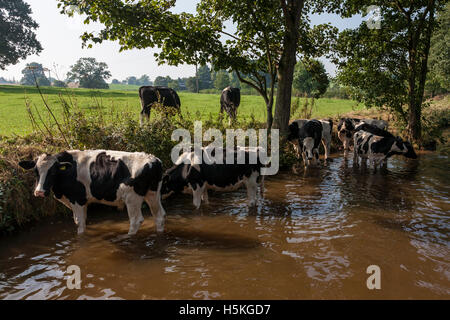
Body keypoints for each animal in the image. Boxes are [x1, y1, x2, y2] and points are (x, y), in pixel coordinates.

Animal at [19, 150, 166, 235]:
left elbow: (79, 223)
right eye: (35, 171)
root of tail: (153, 160)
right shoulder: (82, 202)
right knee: (159, 215)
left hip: (132, 198)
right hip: (153, 194)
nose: (39, 192)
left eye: (53, 171)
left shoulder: (77, 199)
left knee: (136, 220)